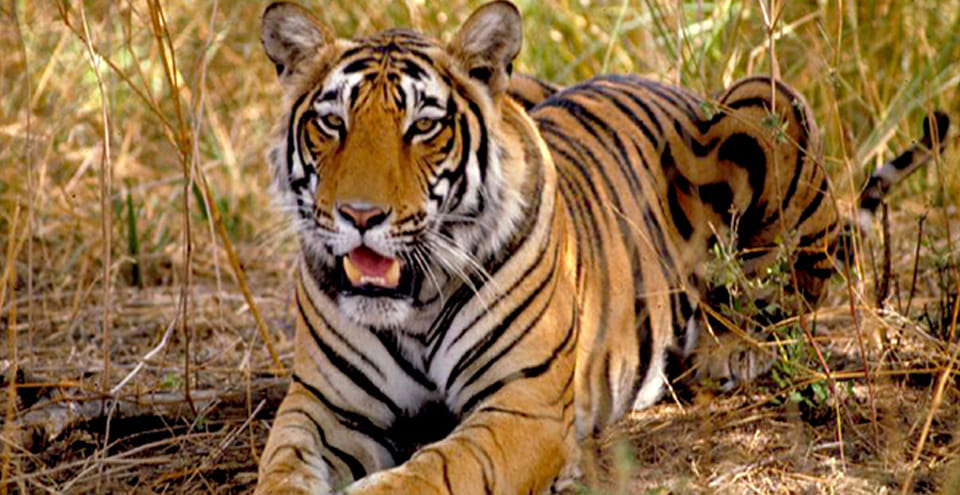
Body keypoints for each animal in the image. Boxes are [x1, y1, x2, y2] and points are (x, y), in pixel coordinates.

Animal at [255, 1, 950, 493]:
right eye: (331, 123)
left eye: (423, 126)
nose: (360, 216)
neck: (415, 303)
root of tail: (667, 84)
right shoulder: (323, 406)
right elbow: (280, 467)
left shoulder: (520, 409)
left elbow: (430, 473)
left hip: (765, 103)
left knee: (791, 298)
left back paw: (728, 352)